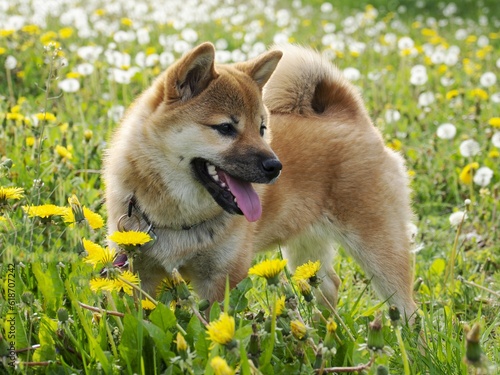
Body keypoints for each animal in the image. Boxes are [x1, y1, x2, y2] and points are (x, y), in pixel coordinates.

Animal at [102, 43, 418, 320]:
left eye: (262, 128)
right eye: (226, 128)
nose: (275, 166)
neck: (178, 218)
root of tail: (351, 117)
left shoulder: (220, 278)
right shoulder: (140, 273)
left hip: (380, 250)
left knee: (408, 307)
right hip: (305, 247)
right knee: (329, 284)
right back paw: (327, 328)